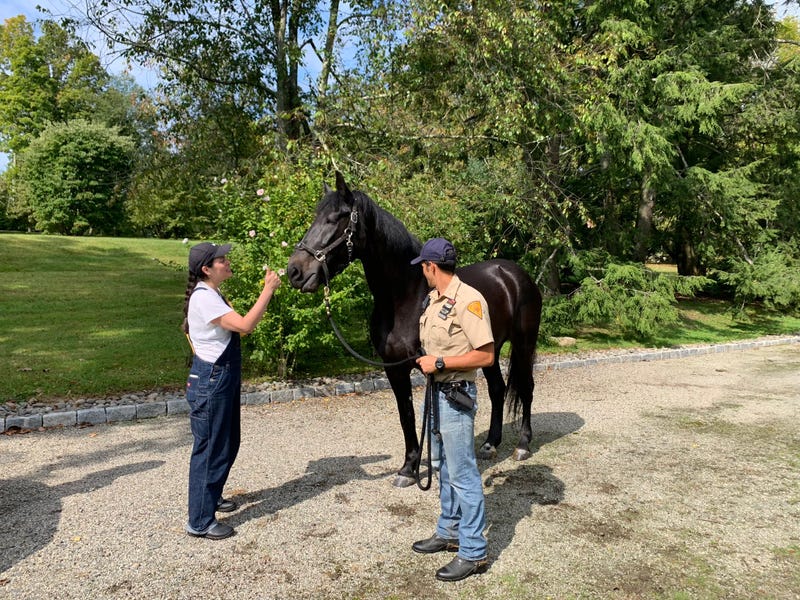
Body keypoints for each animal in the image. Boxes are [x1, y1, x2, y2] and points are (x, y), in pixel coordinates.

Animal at [284, 172, 540, 488]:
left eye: (336, 218)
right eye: (315, 217)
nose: (295, 271)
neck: (407, 296)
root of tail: (515, 274)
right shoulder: (394, 368)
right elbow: (405, 415)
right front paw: (409, 468)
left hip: (524, 343)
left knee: (526, 387)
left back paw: (523, 445)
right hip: (488, 351)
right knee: (497, 389)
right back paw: (491, 443)